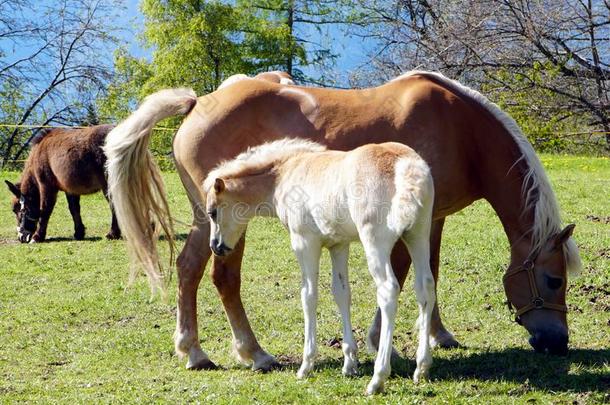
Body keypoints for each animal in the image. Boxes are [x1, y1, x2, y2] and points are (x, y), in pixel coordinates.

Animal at [202, 139, 434, 394]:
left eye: (212, 212)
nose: (216, 246)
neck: (285, 173)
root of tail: (405, 166)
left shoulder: (304, 242)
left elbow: (309, 296)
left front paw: (306, 365)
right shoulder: (339, 245)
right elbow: (341, 293)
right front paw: (349, 364)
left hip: (375, 241)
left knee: (388, 291)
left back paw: (378, 378)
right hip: (419, 235)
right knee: (425, 288)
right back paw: (422, 368)